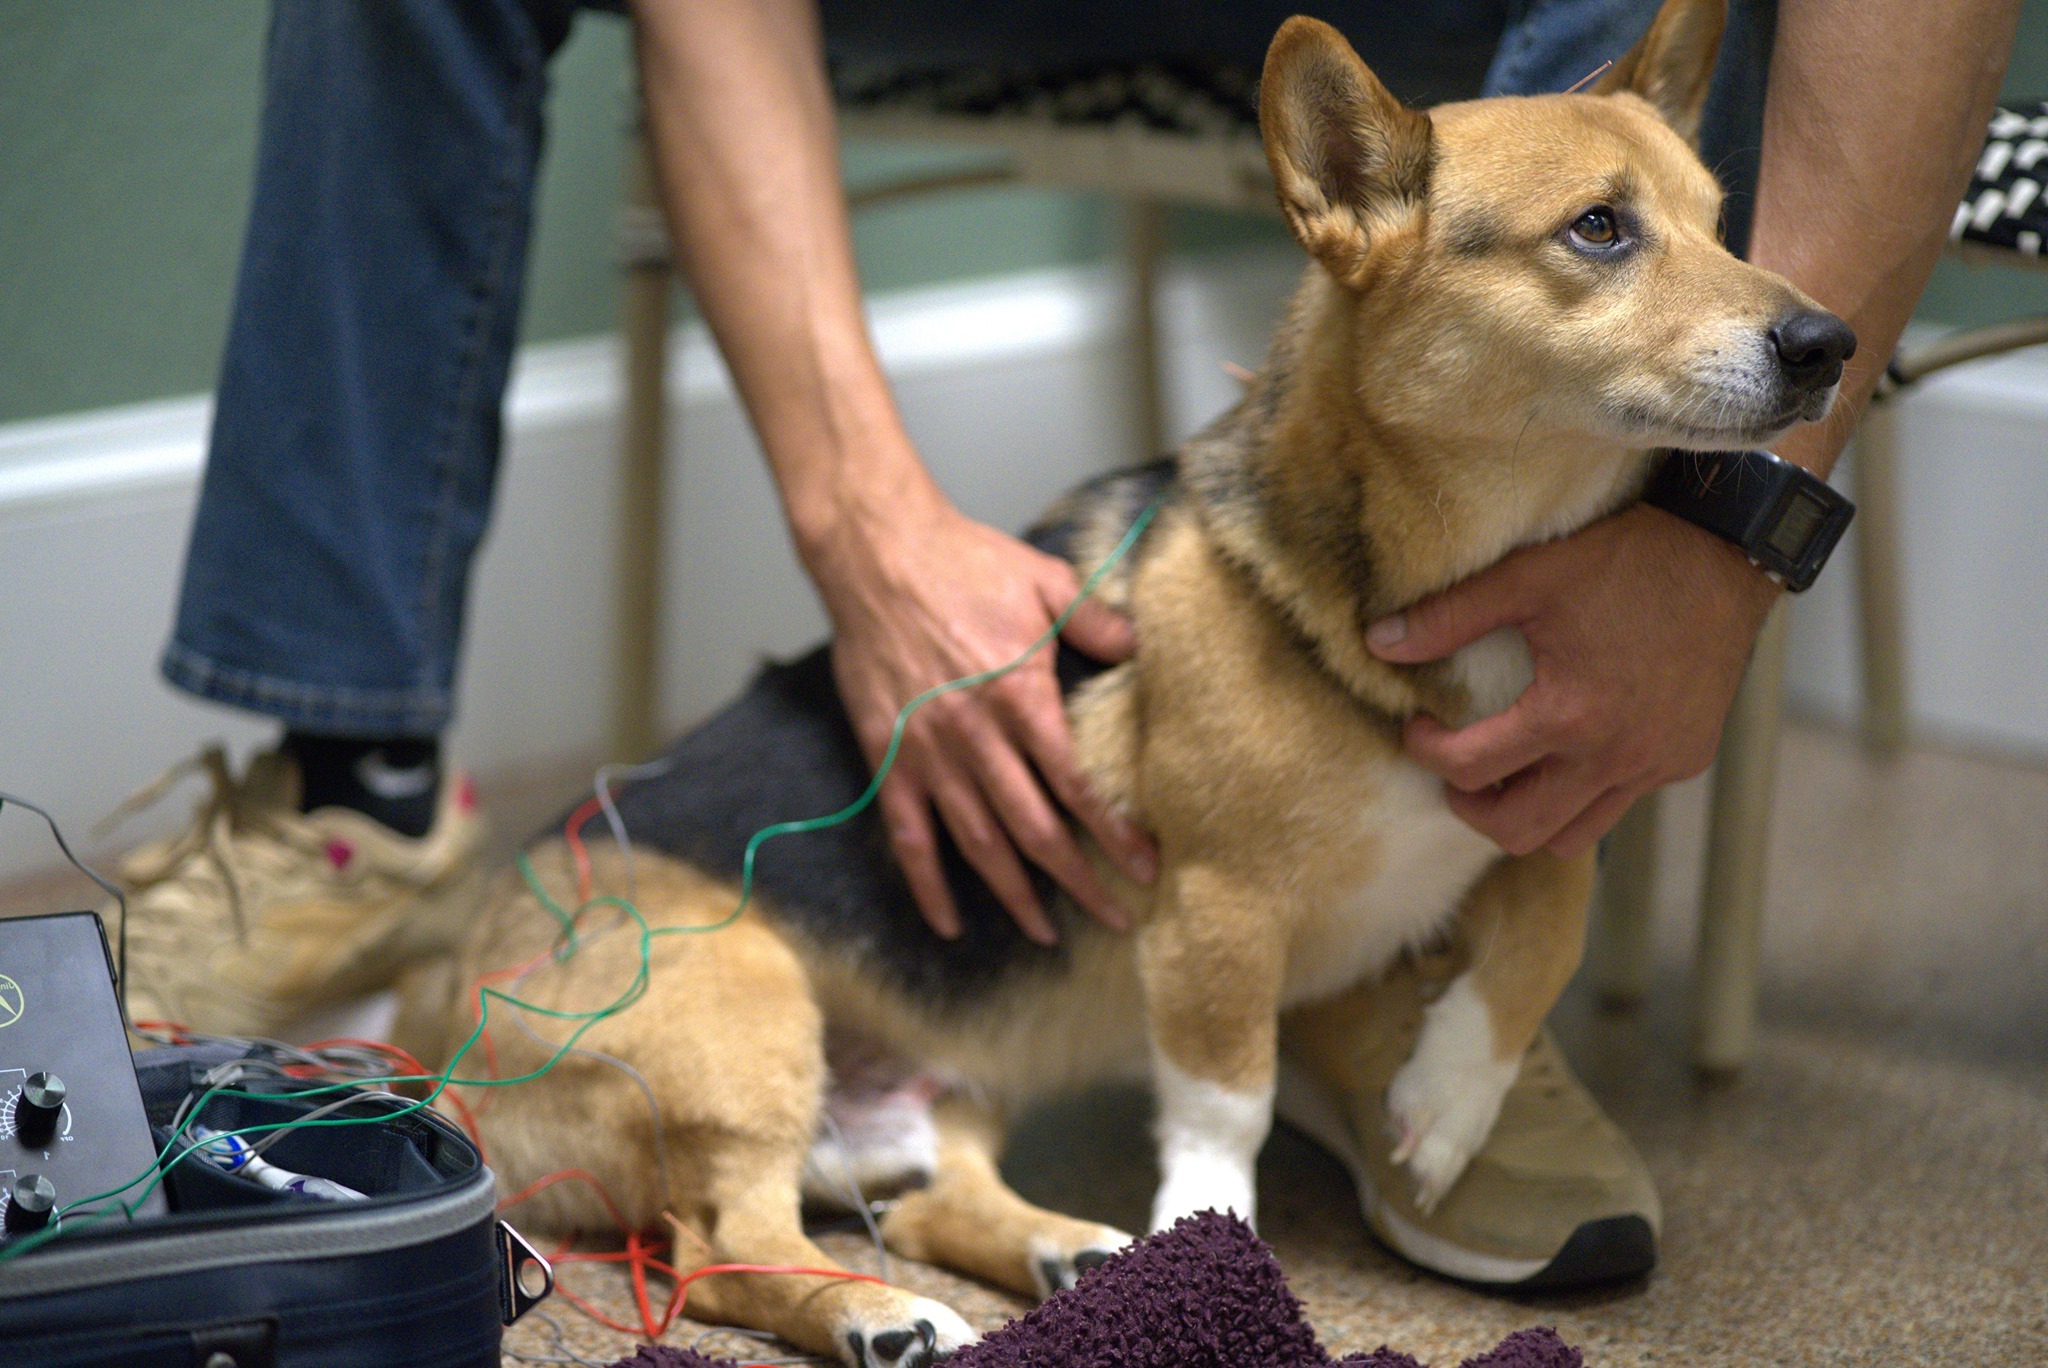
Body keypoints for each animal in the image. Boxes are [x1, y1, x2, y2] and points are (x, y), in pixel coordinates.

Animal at [395, 5, 1859, 1359]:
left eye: (1724, 222)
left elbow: (1540, 935)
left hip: (950, 1080)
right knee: (724, 1244)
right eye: (1599, 230)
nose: (1827, 341)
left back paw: (1067, 1253)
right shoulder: (1217, 913)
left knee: (927, 1200)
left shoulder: (1561, 795)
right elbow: (1226, 1104)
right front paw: (1212, 1237)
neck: (1429, 581)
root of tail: (423, 1037)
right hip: (748, 1019)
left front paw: (1445, 1105)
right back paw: (877, 1314)